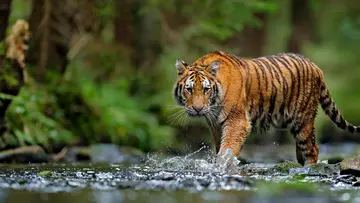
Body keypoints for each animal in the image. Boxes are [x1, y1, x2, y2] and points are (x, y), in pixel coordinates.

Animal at [172, 50, 360, 166]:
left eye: (206, 89)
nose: (197, 109)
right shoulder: (216, 125)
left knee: (312, 149)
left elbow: (227, 149)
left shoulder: (237, 121)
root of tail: (315, 66)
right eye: (189, 89)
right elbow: (220, 147)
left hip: (302, 120)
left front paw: (222, 166)